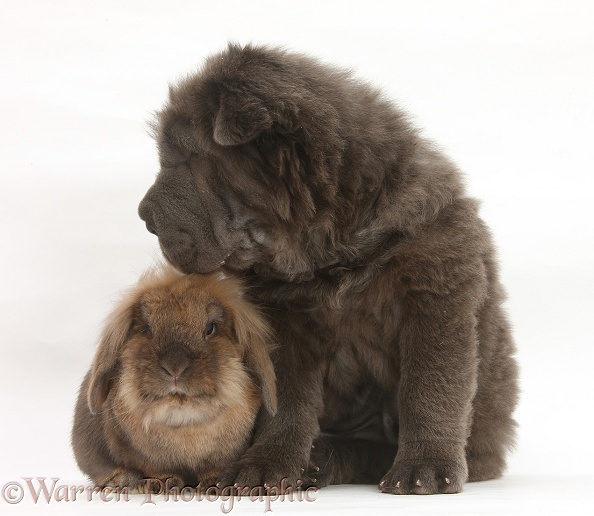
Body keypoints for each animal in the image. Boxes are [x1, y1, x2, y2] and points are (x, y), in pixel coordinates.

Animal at [71, 266, 276, 492]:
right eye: (146, 329)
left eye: (210, 328)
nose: (175, 367)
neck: (184, 421)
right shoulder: (140, 456)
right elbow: (152, 468)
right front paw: (163, 483)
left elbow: (214, 468)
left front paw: (214, 482)